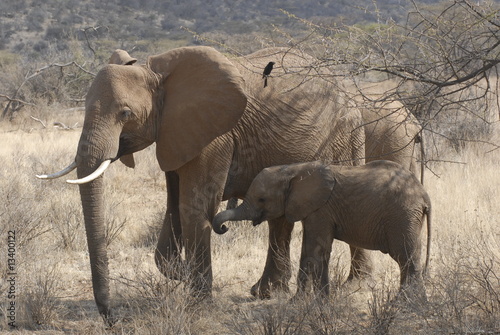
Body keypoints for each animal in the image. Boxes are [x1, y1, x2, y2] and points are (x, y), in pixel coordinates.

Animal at [39, 46, 366, 324]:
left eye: (125, 114)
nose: (112, 318)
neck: (156, 73)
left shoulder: (215, 135)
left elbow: (193, 207)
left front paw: (197, 303)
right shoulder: (175, 133)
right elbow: (173, 207)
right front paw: (182, 273)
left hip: (346, 135)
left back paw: (351, 285)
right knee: (280, 218)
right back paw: (267, 293)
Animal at [213, 161, 432, 300]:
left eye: (262, 199)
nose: (223, 227)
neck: (294, 170)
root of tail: (424, 194)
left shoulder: (321, 209)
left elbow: (315, 252)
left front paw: (307, 303)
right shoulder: (312, 209)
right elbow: (311, 252)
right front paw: (311, 302)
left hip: (402, 215)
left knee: (406, 256)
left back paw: (406, 304)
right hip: (409, 218)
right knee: (411, 256)